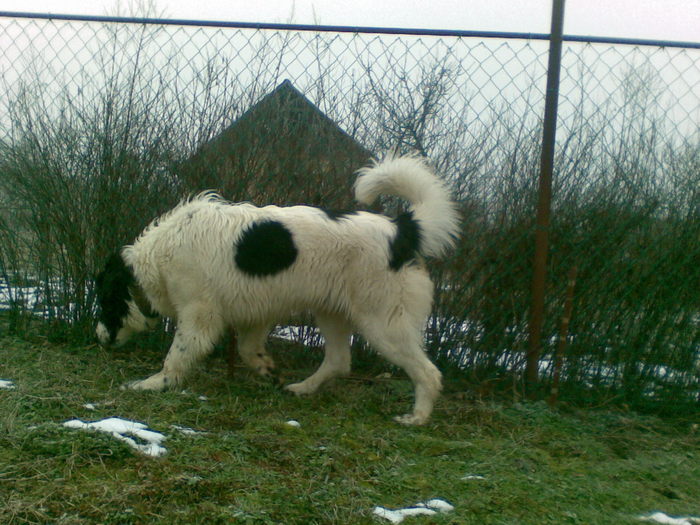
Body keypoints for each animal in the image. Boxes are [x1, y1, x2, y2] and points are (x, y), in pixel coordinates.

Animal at [95, 154, 462, 424]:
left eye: (103, 301)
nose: (98, 337)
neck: (157, 258)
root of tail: (402, 231)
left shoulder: (199, 318)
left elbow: (177, 356)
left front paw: (154, 384)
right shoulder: (256, 314)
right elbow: (247, 349)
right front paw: (265, 369)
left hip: (383, 323)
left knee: (428, 372)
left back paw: (417, 417)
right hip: (332, 313)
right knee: (339, 361)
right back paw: (303, 388)